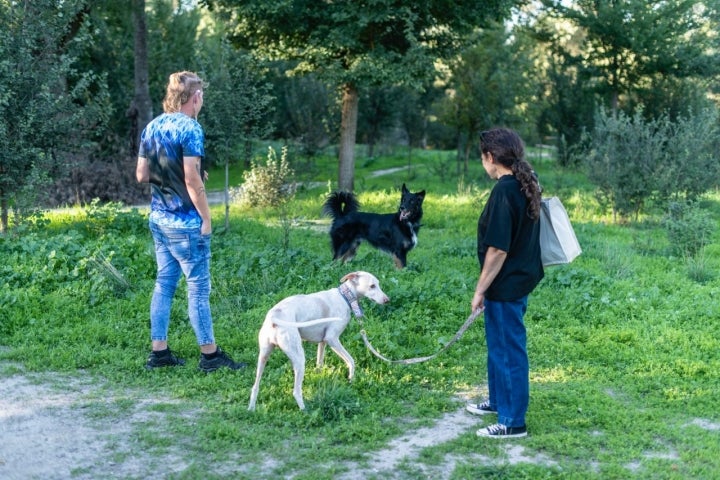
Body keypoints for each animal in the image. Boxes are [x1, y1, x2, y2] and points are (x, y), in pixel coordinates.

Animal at [250, 272, 390, 410]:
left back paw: (251, 409)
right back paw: (305, 411)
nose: (387, 300)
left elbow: (319, 363)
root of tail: (274, 316)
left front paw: (319, 376)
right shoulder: (332, 339)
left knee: (255, 387)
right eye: (372, 286)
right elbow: (351, 361)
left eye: (378, 284)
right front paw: (351, 379)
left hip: (263, 357)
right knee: (296, 391)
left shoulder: (322, 342)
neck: (344, 297)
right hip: (299, 359)